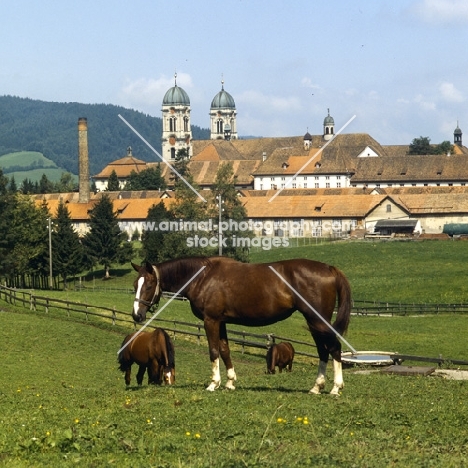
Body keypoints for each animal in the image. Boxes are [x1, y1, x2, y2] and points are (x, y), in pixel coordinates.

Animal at [132, 256, 352, 394]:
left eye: (149, 285)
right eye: (135, 285)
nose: (137, 315)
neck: (202, 276)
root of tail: (329, 268)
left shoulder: (210, 320)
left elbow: (213, 351)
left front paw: (214, 384)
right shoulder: (221, 322)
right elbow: (225, 350)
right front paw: (230, 382)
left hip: (317, 320)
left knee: (334, 348)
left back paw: (335, 388)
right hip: (315, 323)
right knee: (323, 351)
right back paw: (317, 387)